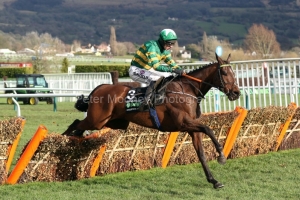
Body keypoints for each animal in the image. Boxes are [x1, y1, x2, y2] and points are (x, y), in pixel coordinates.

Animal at [62, 52, 240, 188]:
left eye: (234, 73)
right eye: (225, 73)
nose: (236, 93)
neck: (187, 90)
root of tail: (99, 87)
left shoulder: (191, 128)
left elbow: (201, 153)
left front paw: (214, 181)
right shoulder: (183, 123)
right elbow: (208, 128)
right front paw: (221, 154)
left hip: (113, 122)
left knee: (78, 126)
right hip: (97, 120)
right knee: (75, 123)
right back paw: (62, 143)